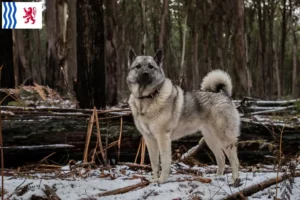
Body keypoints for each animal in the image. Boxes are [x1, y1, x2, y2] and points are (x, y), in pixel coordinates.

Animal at [125, 47, 240, 183]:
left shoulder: (163, 137)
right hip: (210, 138)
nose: (145, 73)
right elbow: (154, 162)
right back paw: (217, 178)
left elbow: (164, 161)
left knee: (234, 160)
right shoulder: (149, 139)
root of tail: (223, 94)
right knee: (221, 157)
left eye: (150, 67)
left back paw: (235, 180)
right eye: (138, 66)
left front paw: (162, 180)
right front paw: (154, 180)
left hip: (224, 138)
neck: (147, 98)